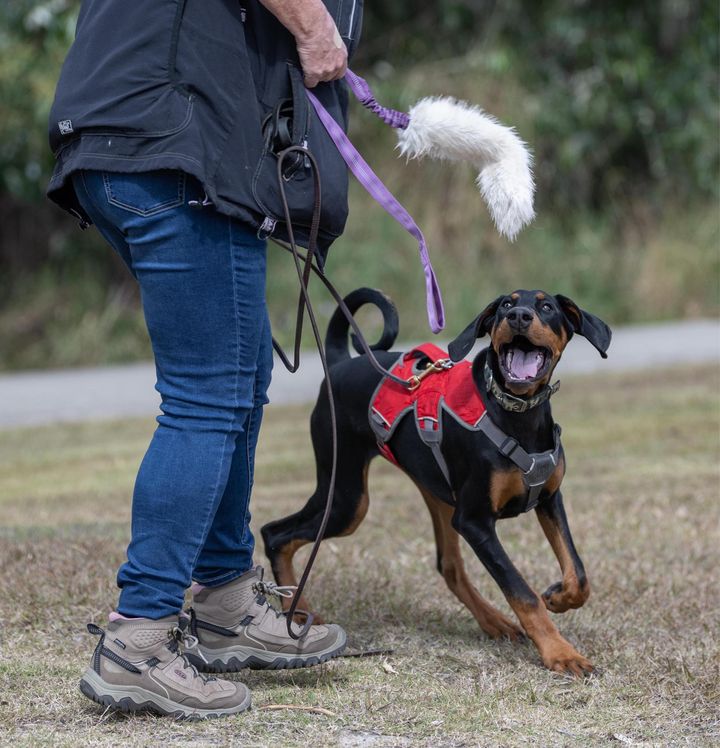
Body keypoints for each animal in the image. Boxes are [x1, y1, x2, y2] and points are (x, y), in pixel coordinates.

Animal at [262, 290, 612, 676]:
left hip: (433, 495)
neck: (517, 413)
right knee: (274, 534)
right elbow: (521, 590)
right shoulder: (474, 521)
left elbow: (578, 573)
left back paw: (494, 622)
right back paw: (300, 615)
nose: (519, 316)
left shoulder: (550, 498)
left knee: (449, 566)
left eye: (546, 306)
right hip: (346, 497)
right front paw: (560, 653)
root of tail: (339, 364)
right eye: (506, 305)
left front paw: (559, 598)